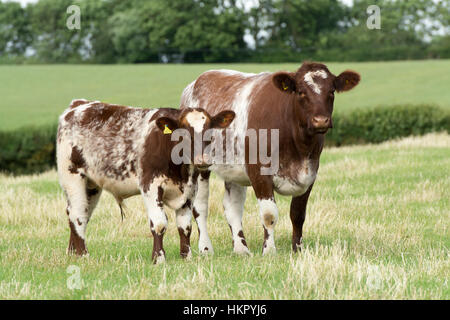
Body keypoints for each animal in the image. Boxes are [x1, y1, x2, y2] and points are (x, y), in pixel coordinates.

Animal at [56, 99, 236, 262]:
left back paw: (72, 253)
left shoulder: (190, 191)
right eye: (183, 133)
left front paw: (187, 257)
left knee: (79, 214)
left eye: (210, 131)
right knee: (78, 215)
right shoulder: (151, 185)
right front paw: (158, 258)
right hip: (73, 178)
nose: (202, 159)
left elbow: (185, 227)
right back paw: (83, 255)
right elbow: (159, 223)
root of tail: (79, 105)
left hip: (91, 186)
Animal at [181, 60, 360, 255]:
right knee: (200, 206)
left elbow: (298, 214)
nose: (320, 121)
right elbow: (269, 214)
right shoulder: (259, 173)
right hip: (200, 165)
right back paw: (206, 248)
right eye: (301, 92)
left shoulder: (310, 174)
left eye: (332, 91)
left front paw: (297, 249)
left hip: (234, 168)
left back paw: (241, 249)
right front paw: (269, 251)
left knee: (232, 207)